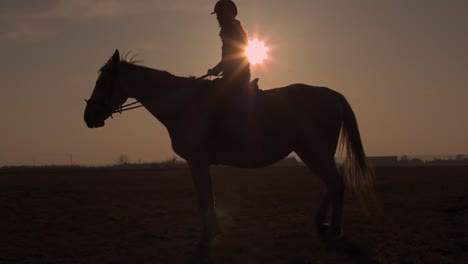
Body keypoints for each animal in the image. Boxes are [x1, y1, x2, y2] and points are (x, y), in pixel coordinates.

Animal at [84, 50, 374, 250]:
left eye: (103, 83)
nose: (88, 117)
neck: (184, 103)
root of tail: (330, 94)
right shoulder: (200, 163)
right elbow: (207, 196)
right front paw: (213, 233)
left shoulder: (197, 161)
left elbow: (204, 197)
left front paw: (208, 237)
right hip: (311, 152)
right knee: (332, 183)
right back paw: (322, 224)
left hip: (315, 152)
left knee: (336, 183)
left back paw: (333, 228)